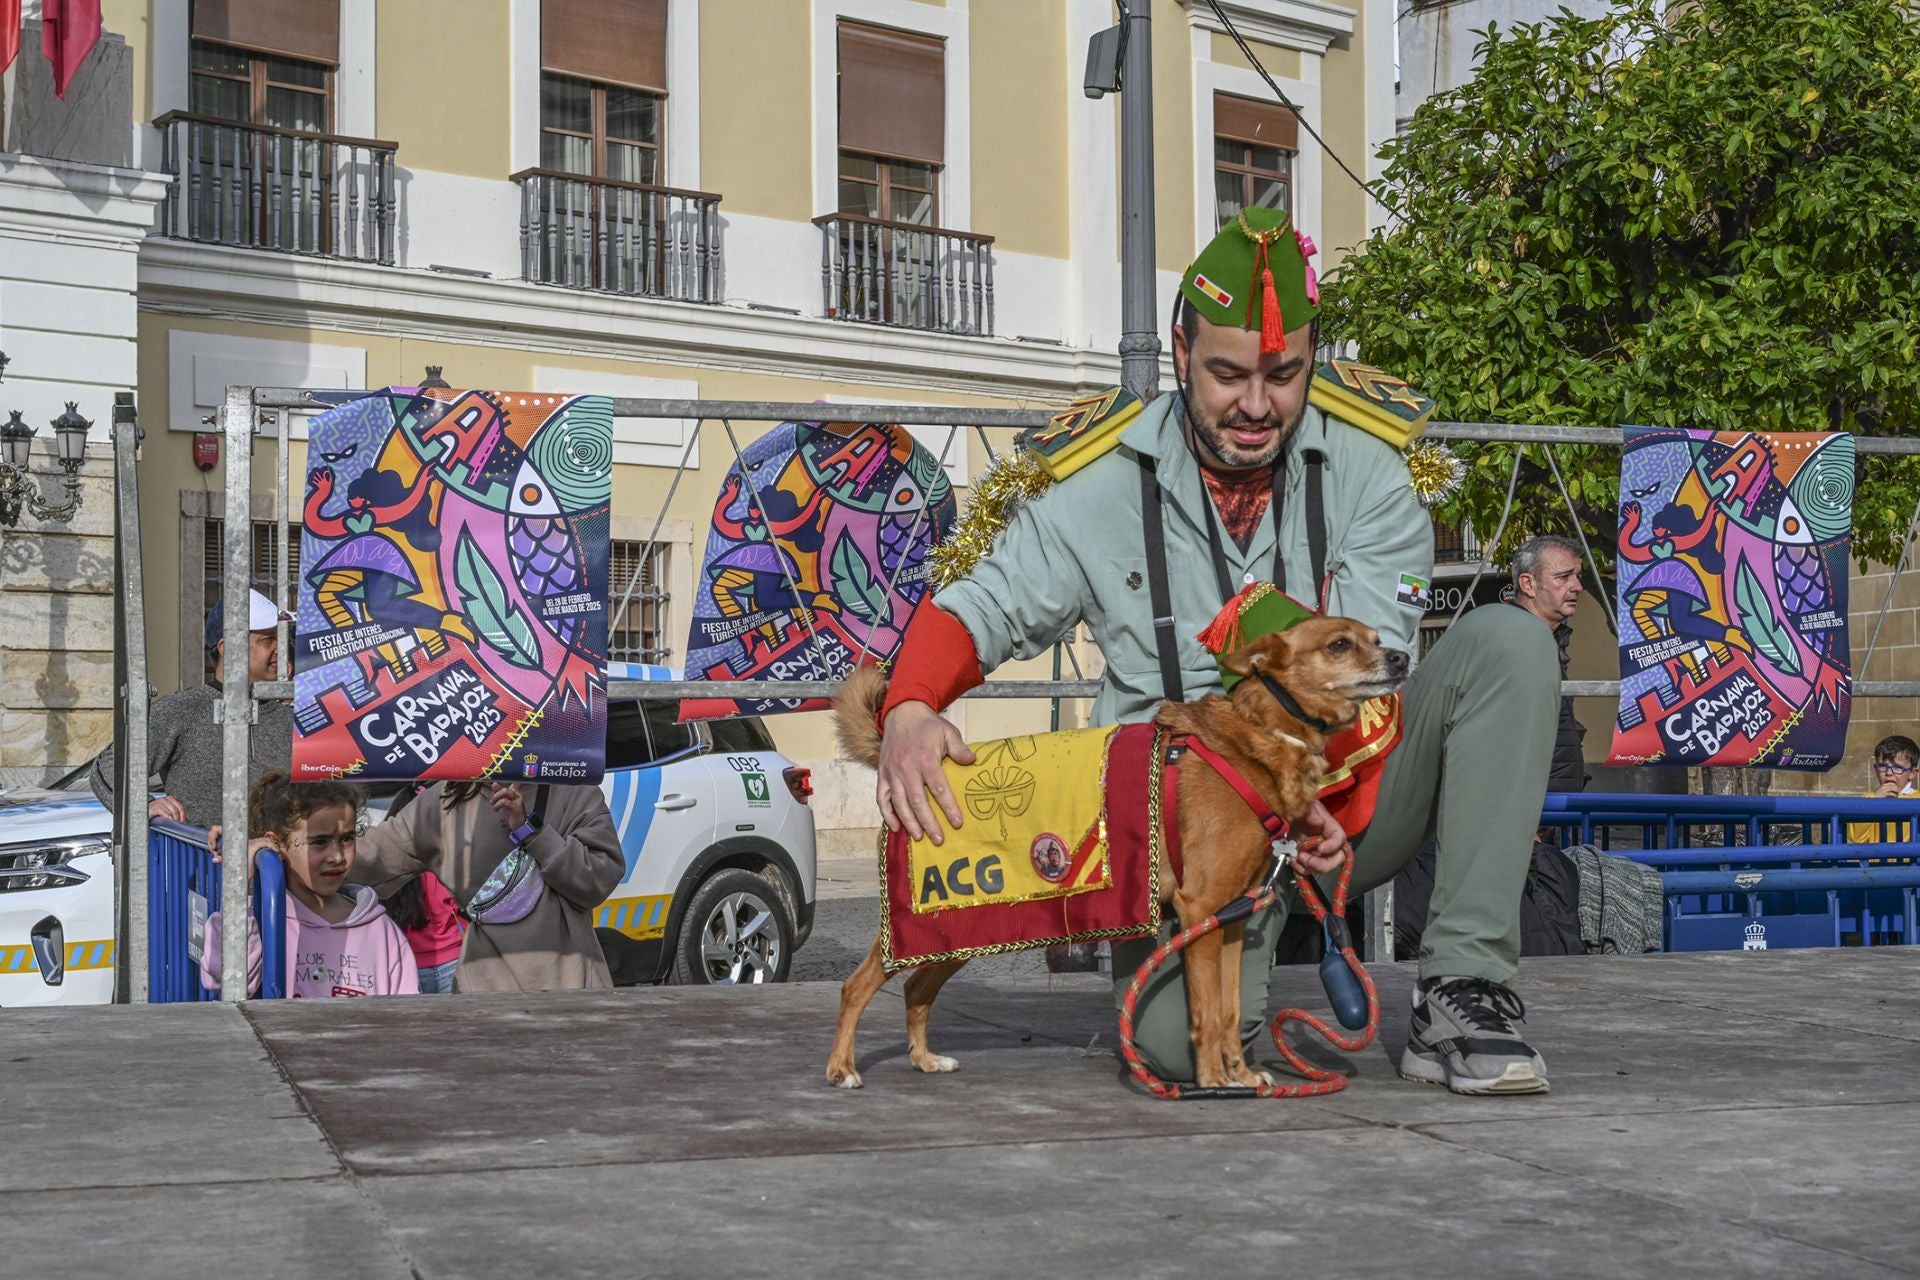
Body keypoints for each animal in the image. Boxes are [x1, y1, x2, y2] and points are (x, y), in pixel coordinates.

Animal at [825, 617, 1413, 1090]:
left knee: (916, 986)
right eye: (1340, 644)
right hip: (926, 924)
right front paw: (1213, 1081)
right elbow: (1206, 1012)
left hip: (963, 932)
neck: (1261, 733)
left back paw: (925, 1059)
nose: (1401, 657)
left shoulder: (1229, 921)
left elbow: (1229, 1010)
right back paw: (842, 1068)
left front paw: (1242, 1075)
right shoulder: (1202, 912)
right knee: (856, 986)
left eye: (1375, 638)